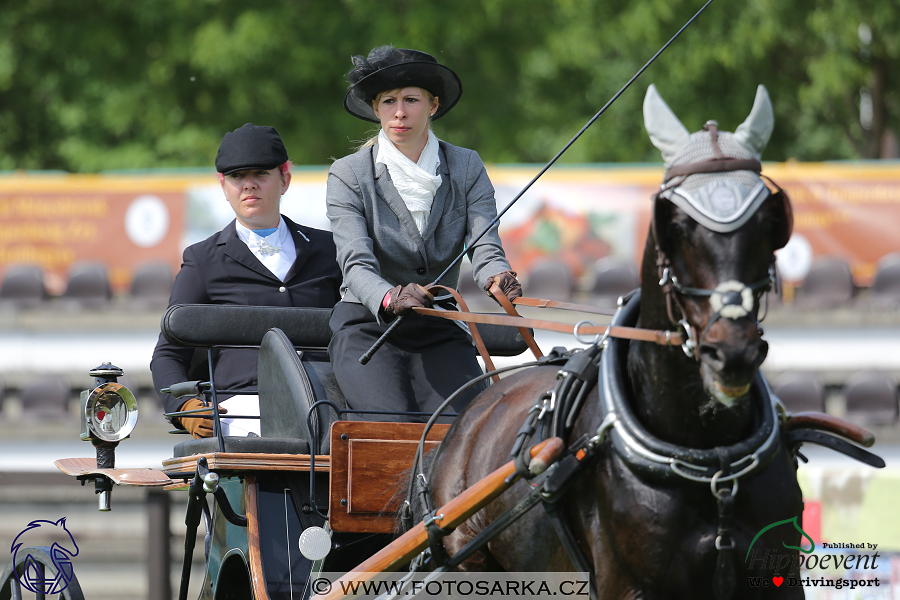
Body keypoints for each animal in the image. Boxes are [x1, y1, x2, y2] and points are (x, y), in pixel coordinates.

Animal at [426, 86, 804, 596]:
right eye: (675, 225)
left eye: (769, 221)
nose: (732, 353)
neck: (709, 458)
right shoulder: (627, 584)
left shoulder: (780, 574)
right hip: (470, 568)